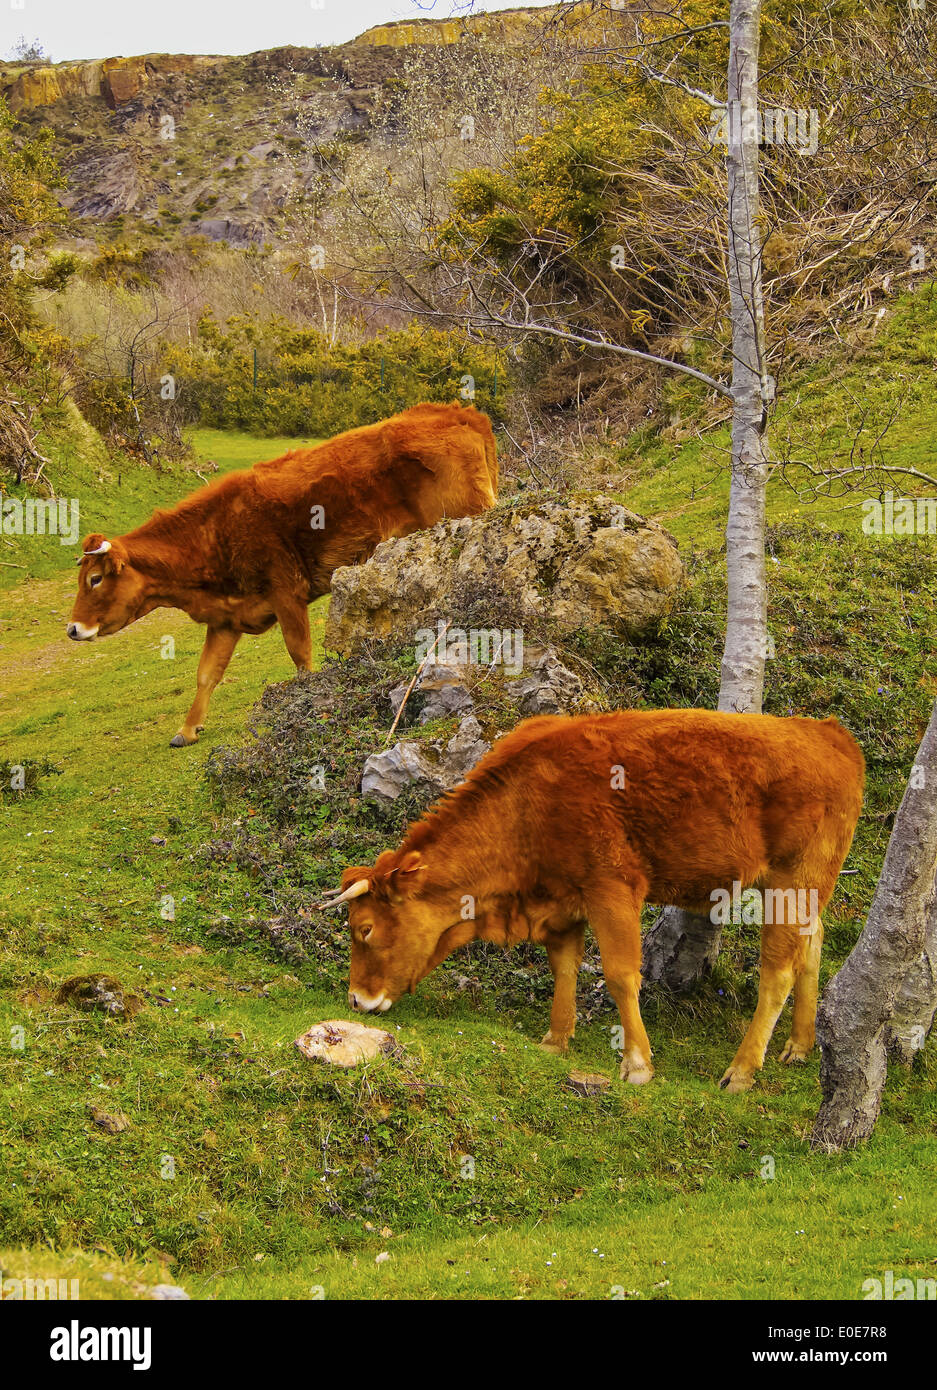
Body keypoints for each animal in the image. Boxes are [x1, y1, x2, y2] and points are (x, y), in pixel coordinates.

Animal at [67, 403, 497, 746]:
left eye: (95, 580)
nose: (72, 628)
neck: (214, 532)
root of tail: (460, 413)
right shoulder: (227, 618)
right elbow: (206, 674)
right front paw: (188, 729)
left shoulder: (285, 592)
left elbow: (300, 656)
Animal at [320, 709, 864, 1093]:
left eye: (364, 929)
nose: (356, 999)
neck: (527, 804)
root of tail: (828, 733)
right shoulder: (563, 900)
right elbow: (564, 967)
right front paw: (556, 1040)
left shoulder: (613, 889)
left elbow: (622, 975)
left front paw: (637, 1063)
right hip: (805, 889)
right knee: (812, 946)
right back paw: (799, 1045)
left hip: (792, 881)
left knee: (779, 970)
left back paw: (743, 1069)